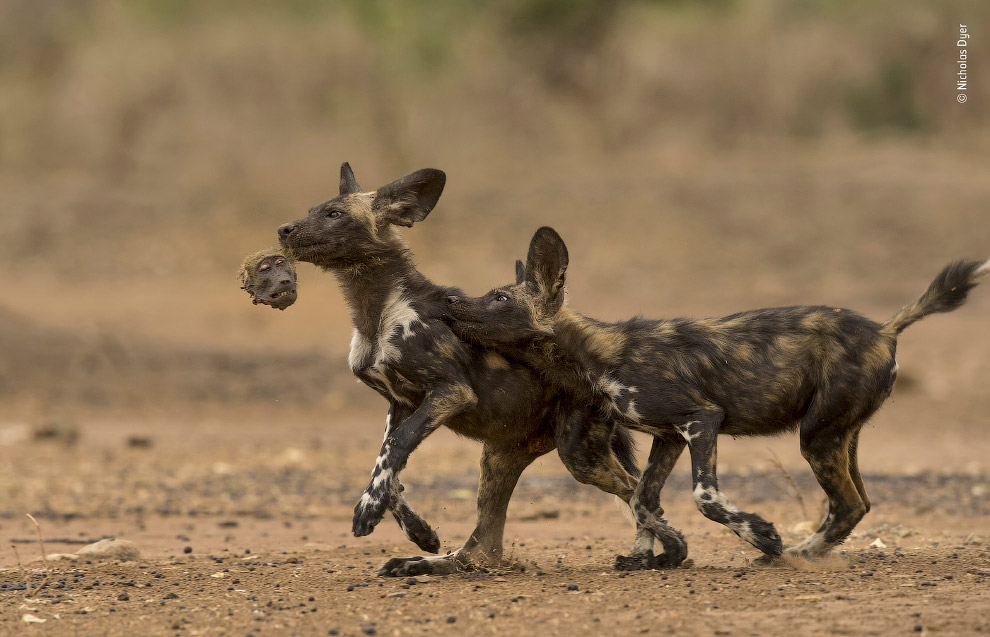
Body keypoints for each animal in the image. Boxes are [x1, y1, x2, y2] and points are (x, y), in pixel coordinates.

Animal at [278, 164, 644, 576]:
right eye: (312, 210)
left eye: (333, 214)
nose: (283, 229)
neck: (376, 314)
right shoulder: (401, 404)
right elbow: (387, 464)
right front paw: (418, 530)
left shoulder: (449, 392)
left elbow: (396, 446)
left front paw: (368, 510)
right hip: (500, 457)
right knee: (483, 549)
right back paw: (421, 562)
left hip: (577, 454)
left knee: (636, 489)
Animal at [450, 226, 990, 564]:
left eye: (499, 298)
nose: (451, 299)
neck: (597, 356)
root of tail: (884, 328)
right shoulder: (668, 436)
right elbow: (643, 499)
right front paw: (650, 555)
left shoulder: (700, 420)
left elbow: (704, 496)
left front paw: (761, 535)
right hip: (839, 435)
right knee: (858, 502)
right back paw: (803, 553)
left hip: (815, 437)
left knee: (848, 504)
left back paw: (791, 556)